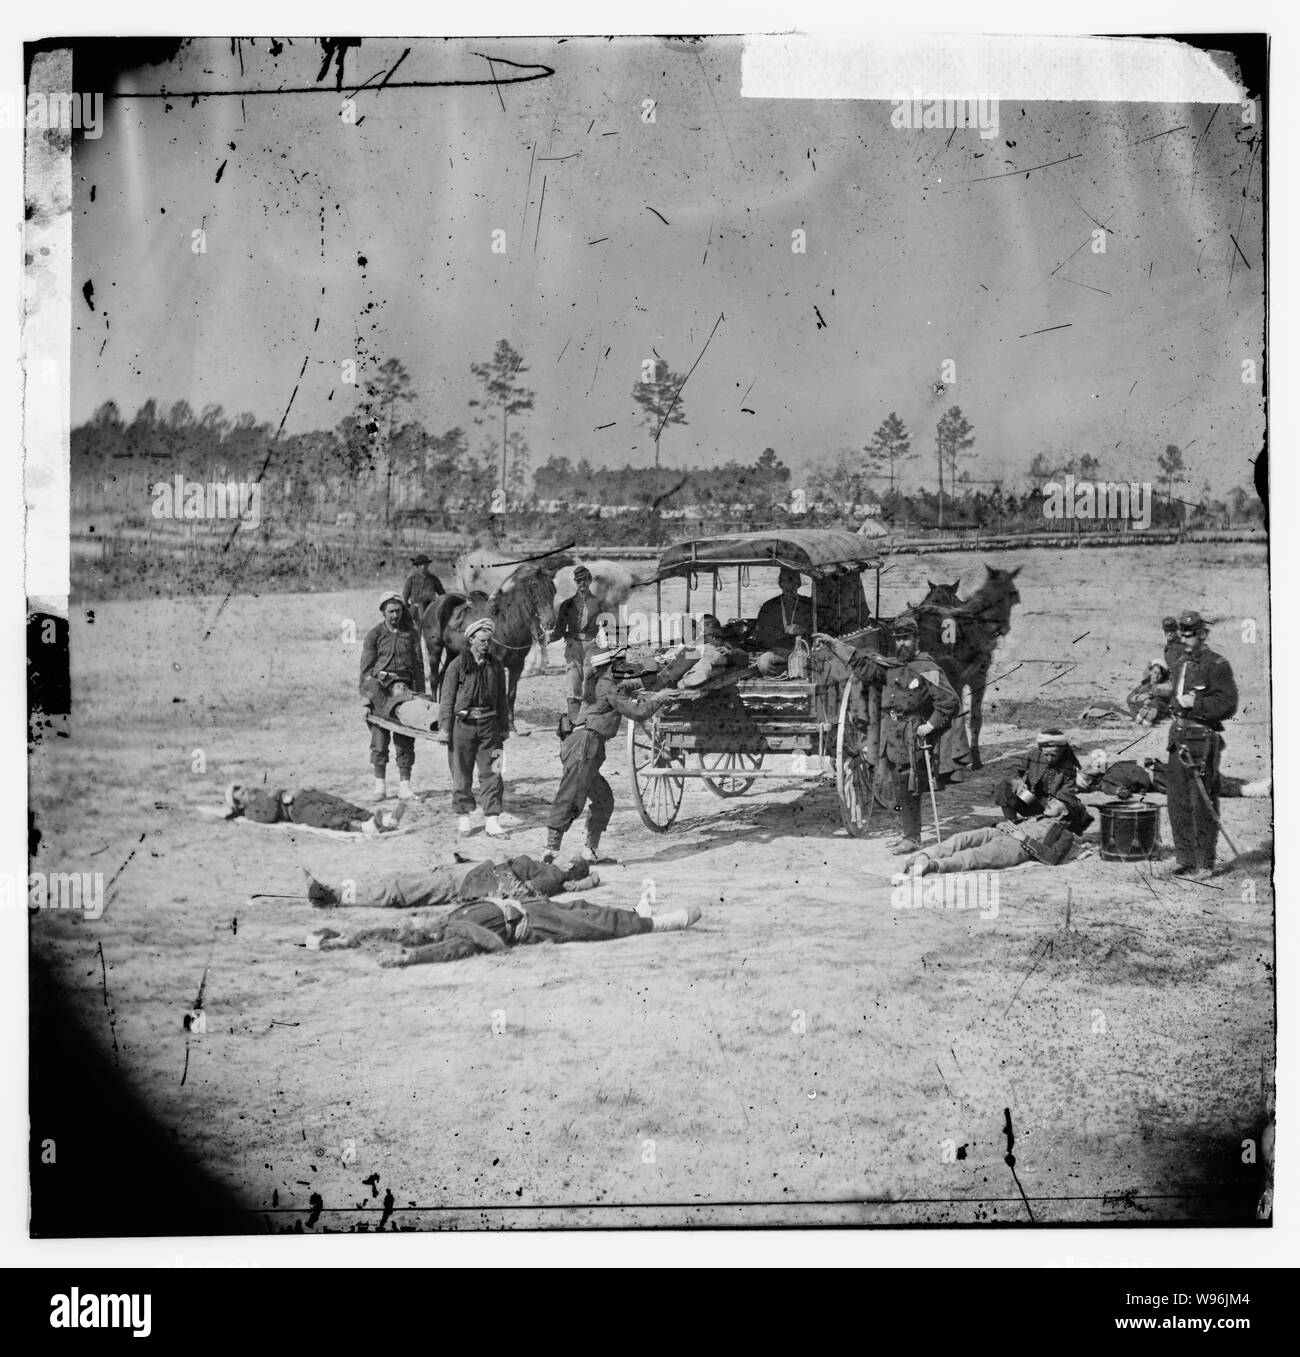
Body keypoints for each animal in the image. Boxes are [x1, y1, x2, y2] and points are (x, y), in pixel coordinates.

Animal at [911, 561, 1020, 770]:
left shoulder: (969, 680)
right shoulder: (966, 680)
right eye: (1013, 594)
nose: (1003, 628)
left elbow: (973, 718)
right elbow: (963, 716)